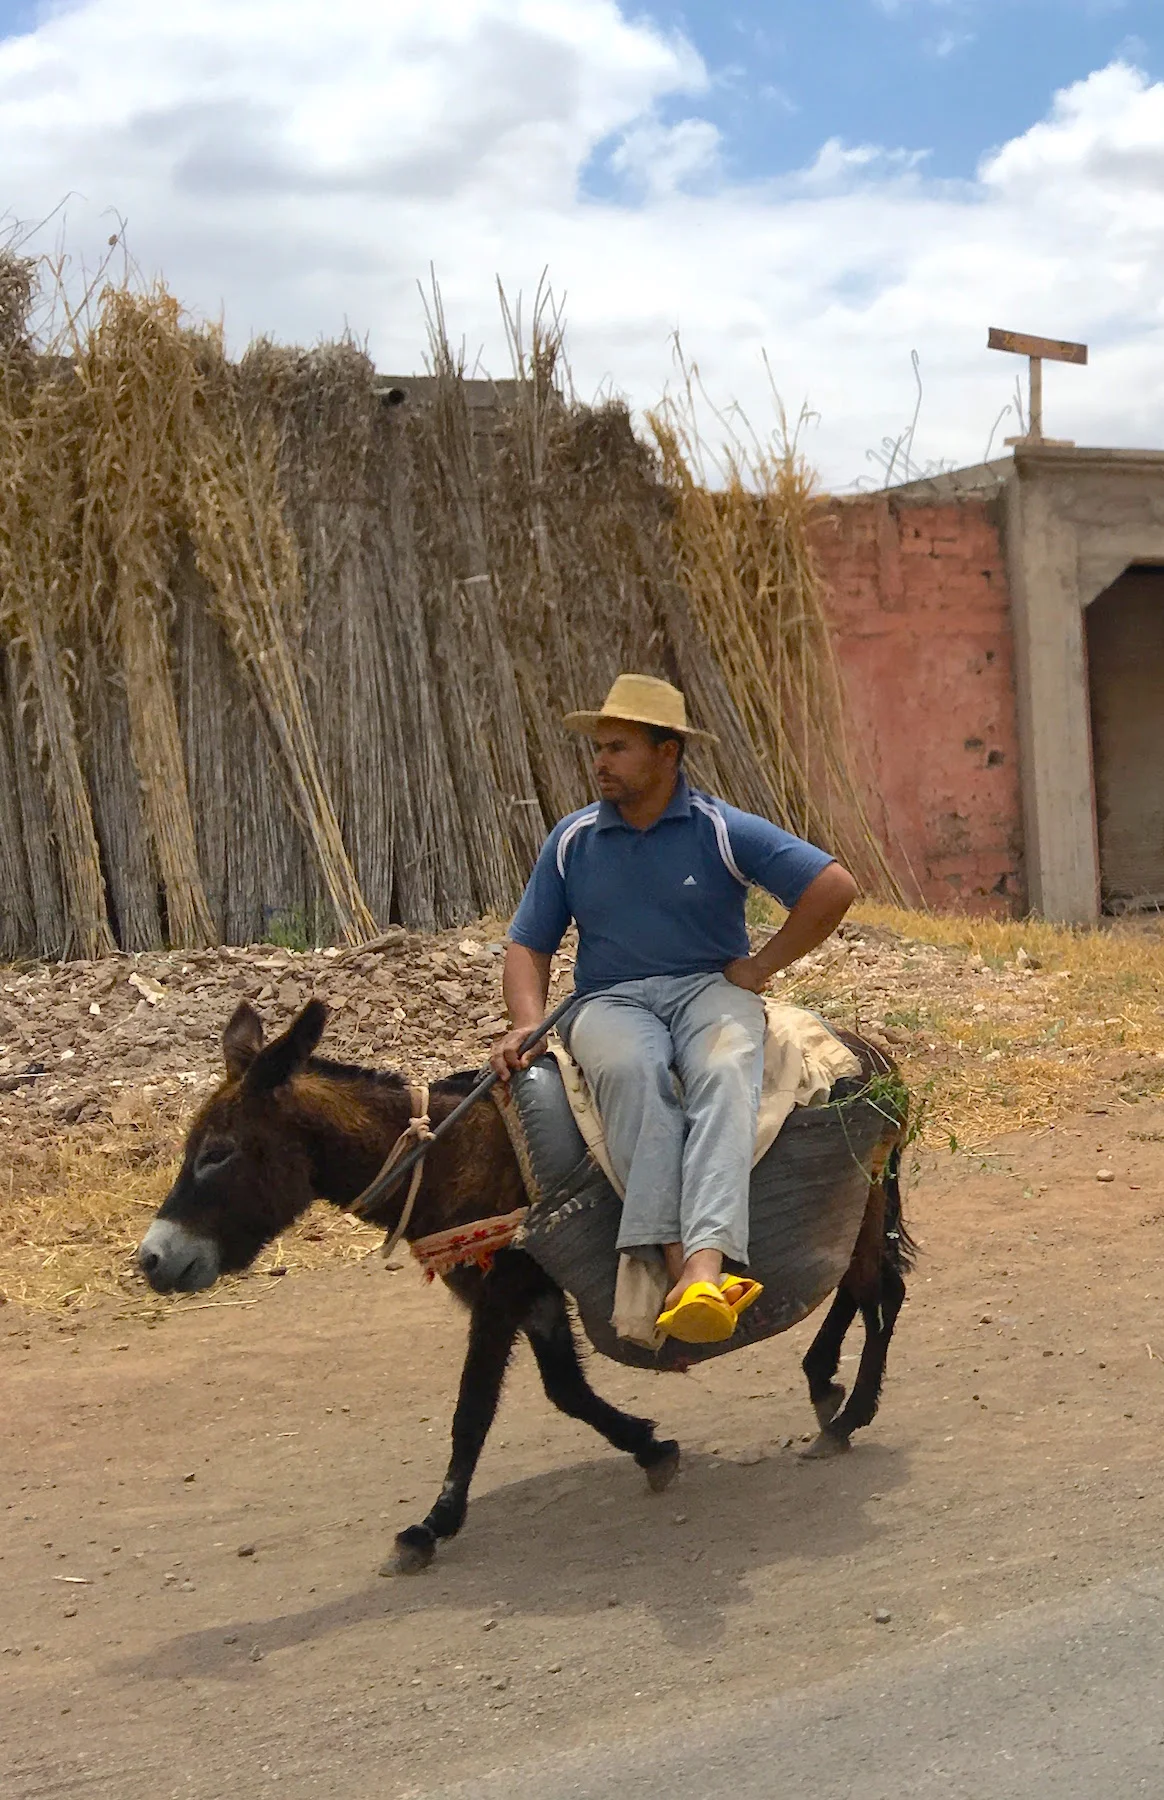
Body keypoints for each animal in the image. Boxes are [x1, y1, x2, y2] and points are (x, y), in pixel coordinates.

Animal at [137, 998, 914, 1573]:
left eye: (218, 1155)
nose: (151, 1259)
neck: (445, 1156)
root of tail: (870, 1053)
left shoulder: (500, 1293)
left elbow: (472, 1411)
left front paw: (431, 1526)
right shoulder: (531, 1292)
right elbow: (564, 1390)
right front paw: (651, 1448)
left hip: (859, 1192)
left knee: (879, 1293)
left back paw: (845, 1416)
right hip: (860, 1204)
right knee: (862, 1287)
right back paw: (824, 1385)